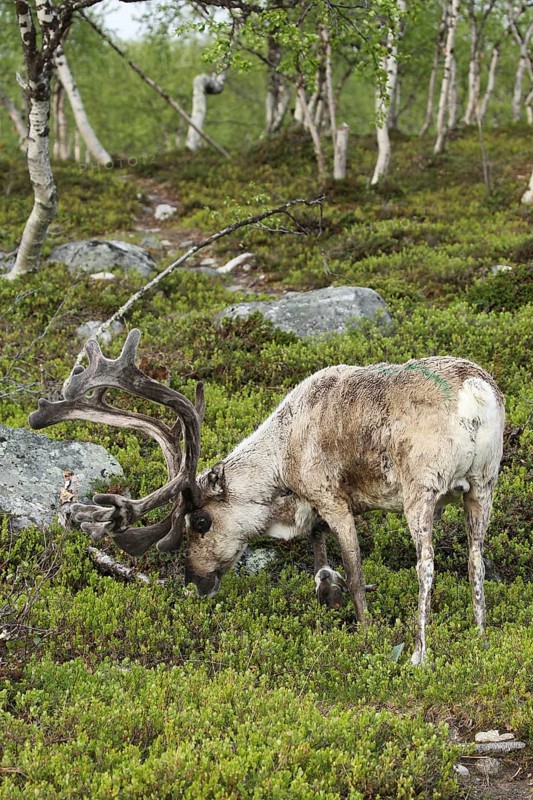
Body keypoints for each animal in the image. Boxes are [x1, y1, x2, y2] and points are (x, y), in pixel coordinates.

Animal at [29, 328, 505, 665]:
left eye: (200, 522)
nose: (194, 581)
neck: (283, 454)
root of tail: (476, 394)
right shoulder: (316, 508)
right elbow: (319, 551)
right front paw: (326, 593)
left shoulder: (331, 496)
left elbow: (353, 571)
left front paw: (367, 631)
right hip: (483, 484)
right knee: (475, 558)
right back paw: (480, 637)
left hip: (420, 490)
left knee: (426, 565)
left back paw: (419, 654)